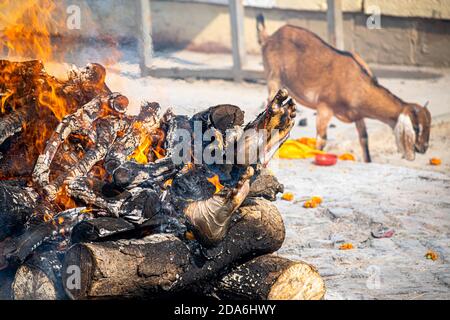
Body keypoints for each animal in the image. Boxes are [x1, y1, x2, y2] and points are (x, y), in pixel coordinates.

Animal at [255, 14, 430, 162]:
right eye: (416, 127)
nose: (423, 148)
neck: (355, 83)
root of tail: (269, 37)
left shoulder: (358, 115)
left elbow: (364, 138)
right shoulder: (324, 107)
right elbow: (321, 140)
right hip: (273, 78)